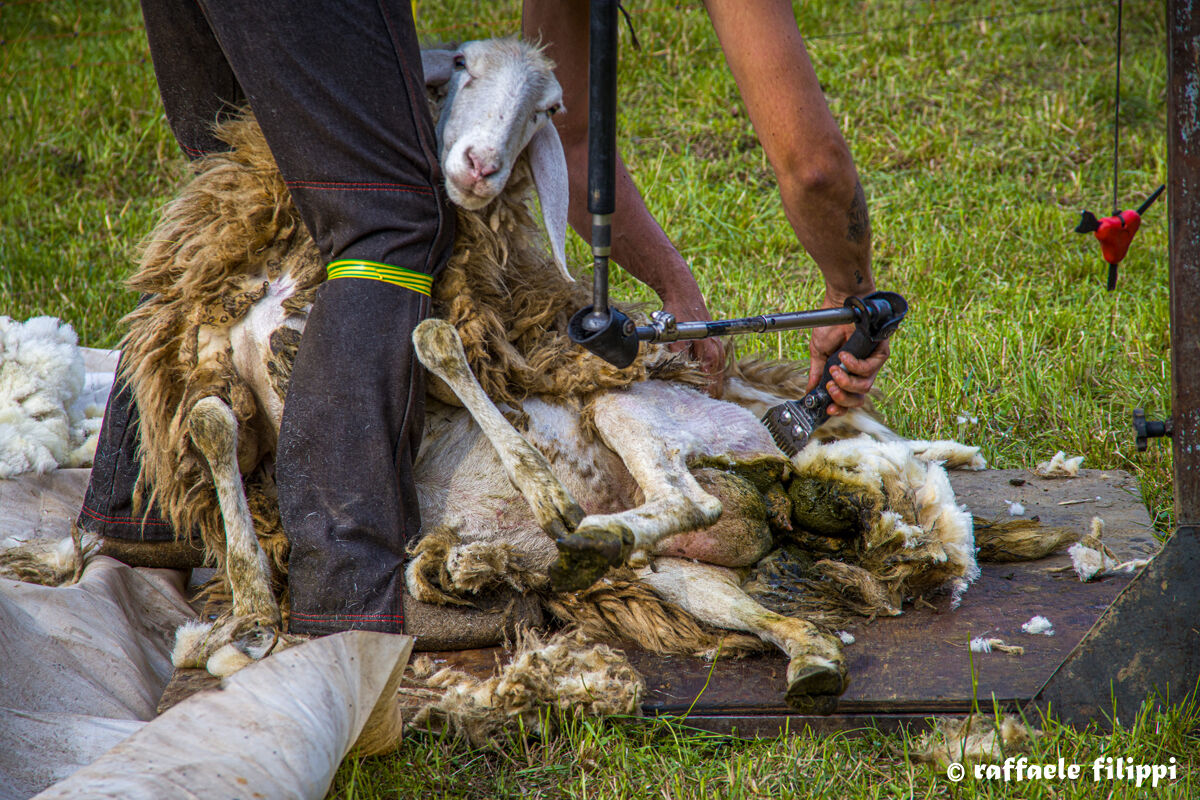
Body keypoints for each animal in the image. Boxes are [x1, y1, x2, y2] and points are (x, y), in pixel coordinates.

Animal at [122, 37, 985, 712]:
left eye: (548, 108)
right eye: (460, 68)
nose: (479, 167)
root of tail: (776, 463)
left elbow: (436, 353)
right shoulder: (234, 387)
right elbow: (213, 426)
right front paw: (250, 616)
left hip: (629, 412)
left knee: (682, 497)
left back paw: (571, 529)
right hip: (679, 572)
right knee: (759, 600)